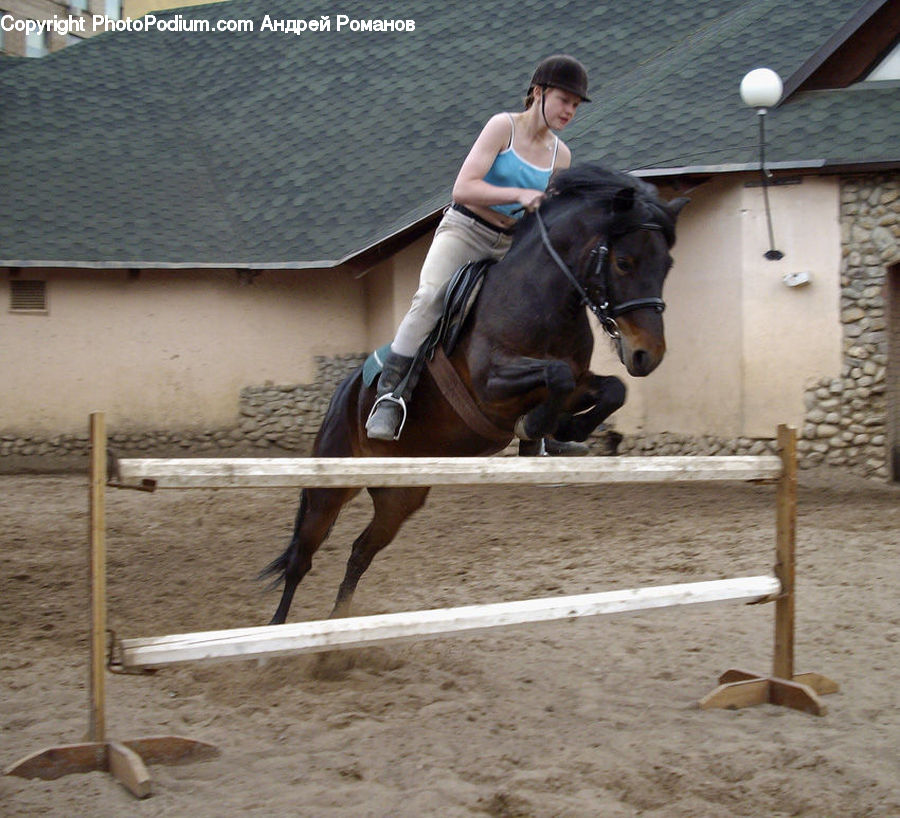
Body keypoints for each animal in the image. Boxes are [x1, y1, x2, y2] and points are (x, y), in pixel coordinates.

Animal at [262, 164, 688, 624]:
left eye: (668, 264)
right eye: (624, 262)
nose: (647, 355)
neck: (540, 298)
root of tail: (343, 392)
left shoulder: (579, 381)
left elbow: (612, 389)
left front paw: (564, 433)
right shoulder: (491, 387)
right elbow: (555, 377)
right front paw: (536, 427)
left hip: (400, 496)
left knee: (360, 552)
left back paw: (337, 627)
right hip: (330, 487)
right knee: (302, 559)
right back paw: (277, 631)